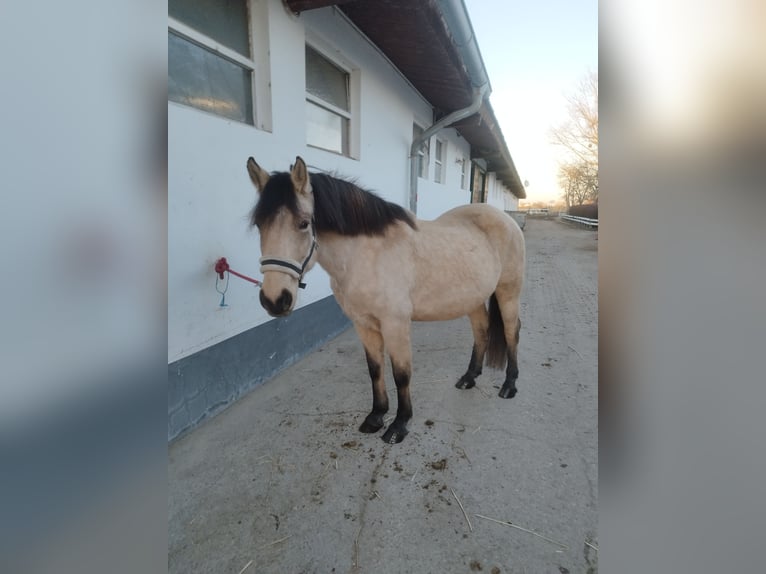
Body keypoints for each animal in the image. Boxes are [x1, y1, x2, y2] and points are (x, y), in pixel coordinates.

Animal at [246, 156, 525, 444]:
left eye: (303, 223)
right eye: (259, 224)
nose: (274, 300)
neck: (366, 255)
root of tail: (506, 219)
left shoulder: (395, 324)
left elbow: (401, 374)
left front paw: (399, 425)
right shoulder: (363, 324)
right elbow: (375, 369)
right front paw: (376, 416)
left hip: (508, 291)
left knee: (511, 331)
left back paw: (509, 385)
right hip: (473, 298)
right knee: (481, 330)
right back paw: (469, 378)